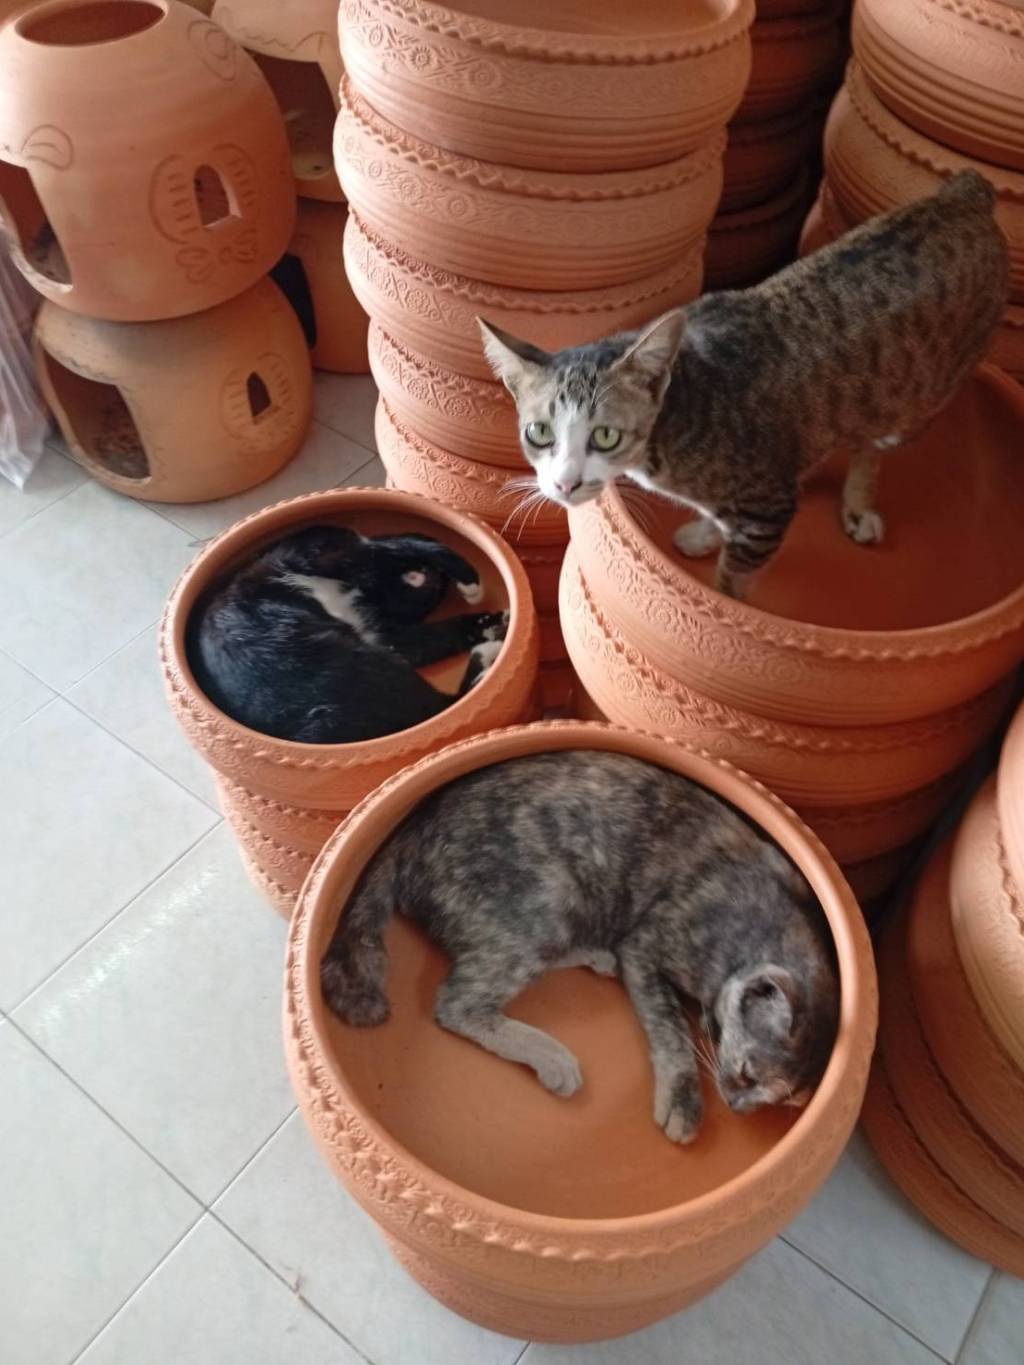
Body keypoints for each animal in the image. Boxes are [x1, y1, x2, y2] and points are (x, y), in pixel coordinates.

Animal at [188, 525, 508, 743]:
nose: (429, 579)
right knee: (449, 702)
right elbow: (413, 548)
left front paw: (491, 619)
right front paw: (471, 584)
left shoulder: (381, 631)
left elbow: (440, 633)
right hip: (363, 661)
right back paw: (487, 652)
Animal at [321, 750, 839, 1144]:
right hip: (550, 899)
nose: (735, 1106)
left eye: (784, 1101)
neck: (763, 924)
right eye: (748, 1073)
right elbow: (673, 1031)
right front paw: (685, 1101)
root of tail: (405, 832)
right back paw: (553, 1057)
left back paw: (593, 955)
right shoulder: (645, 947)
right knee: (457, 1003)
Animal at [479, 170, 1009, 598]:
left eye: (605, 435)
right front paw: (705, 531)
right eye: (539, 432)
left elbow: (731, 583)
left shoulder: (767, 510)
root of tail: (966, 193)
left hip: (926, 390)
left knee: (873, 444)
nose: (565, 484)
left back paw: (859, 503)